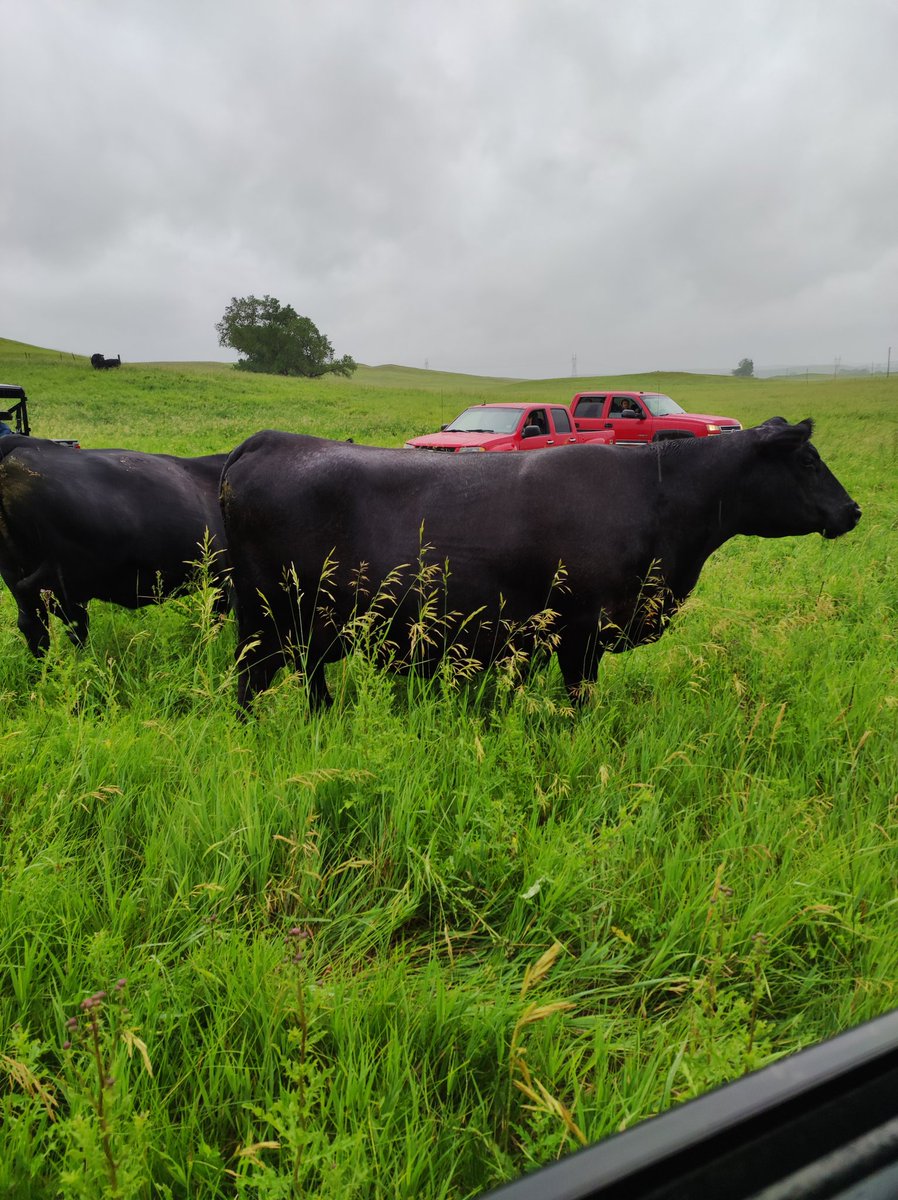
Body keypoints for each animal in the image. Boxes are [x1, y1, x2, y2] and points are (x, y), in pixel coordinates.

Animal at [0, 436, 228, 655]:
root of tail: (27, 442)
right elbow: (218, 619)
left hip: (14, 568)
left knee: (40, 623)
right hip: (69, 569)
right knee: (48, 604)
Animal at [219, 418, 861, 711]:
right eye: (807, 460)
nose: (853, 510)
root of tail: (269, 438)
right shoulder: (582, 631)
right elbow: (579, 699)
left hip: (305, 626)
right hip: (270, 618)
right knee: (250, 687)